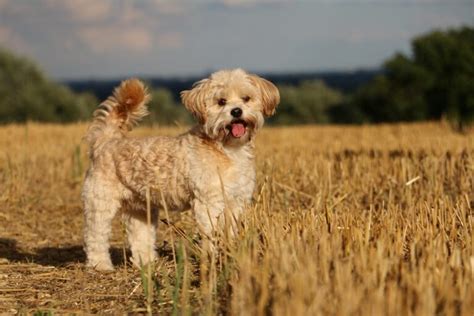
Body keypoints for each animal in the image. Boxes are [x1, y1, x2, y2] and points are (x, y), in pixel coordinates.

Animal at [81, 68, 280, 270]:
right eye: (221, 101)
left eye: (246, 98)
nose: (237, 111)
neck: (227, 148)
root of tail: (106, 141)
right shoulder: (209, 202)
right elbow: (211, 233)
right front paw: (213, 259)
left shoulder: (236, 201)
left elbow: (229, 231)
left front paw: (231, 255)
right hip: (100, 202)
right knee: (95, 235)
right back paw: (101, 265)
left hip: (141, 209)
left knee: (140, 237)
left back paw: (146, 263)